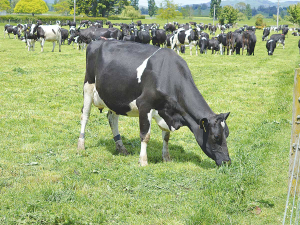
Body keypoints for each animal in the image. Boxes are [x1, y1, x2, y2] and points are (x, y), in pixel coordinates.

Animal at [78, 38, 232, 166]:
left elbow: (166, 137)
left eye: (227, 134)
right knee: (85, 116)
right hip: (88, 87)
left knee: (112, 118)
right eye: (216, 136)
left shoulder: (166, 112)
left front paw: (166, 157)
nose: (227, 162)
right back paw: (81, 146)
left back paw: (121, 148)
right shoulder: (144, 105)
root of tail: (97, 41)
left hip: (113, 96)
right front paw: (143, 161)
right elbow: (145, 136)